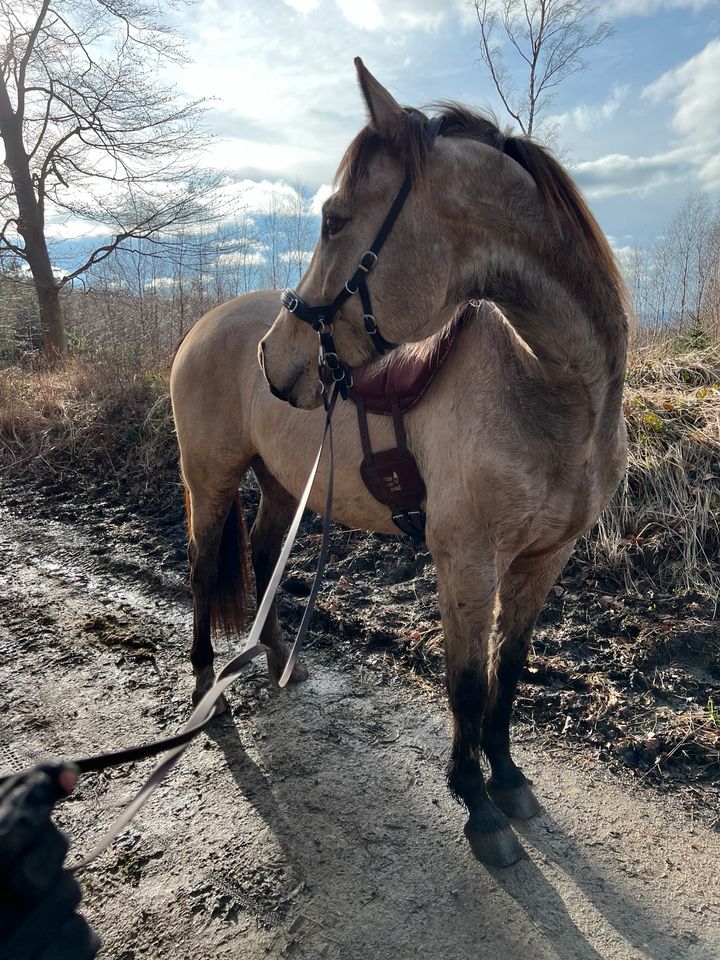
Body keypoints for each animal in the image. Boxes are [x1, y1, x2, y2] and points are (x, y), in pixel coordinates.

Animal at [170, 60, 632, 872]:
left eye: (334, 219)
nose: (275, 357)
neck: (553, 387)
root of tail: (208, 325)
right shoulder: (467, 561)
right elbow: (468, 686)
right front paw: (476, 803)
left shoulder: (544, 560)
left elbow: (509, 672)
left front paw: (508, 778)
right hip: (212, 481)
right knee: (201, 569)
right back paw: (207, 683)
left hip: (281, 487)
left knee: (263, 555)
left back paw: (280, 660)